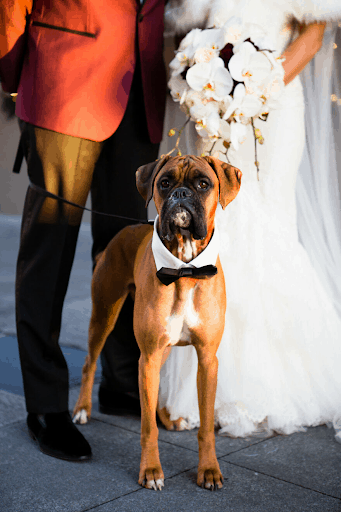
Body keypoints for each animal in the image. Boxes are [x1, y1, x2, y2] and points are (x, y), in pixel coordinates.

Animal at [73, 155, 240, 492]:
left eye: (203, 183)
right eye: (165, 183)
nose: (180, 194)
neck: (185, 269)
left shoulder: (206, 359)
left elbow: (206, 427)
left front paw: (209, 470)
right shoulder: (147, 355)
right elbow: (147, 427)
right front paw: (150, 470)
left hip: (159, 349)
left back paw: (169, 418)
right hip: (105, 315)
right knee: (89, 363)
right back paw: (82, 409)